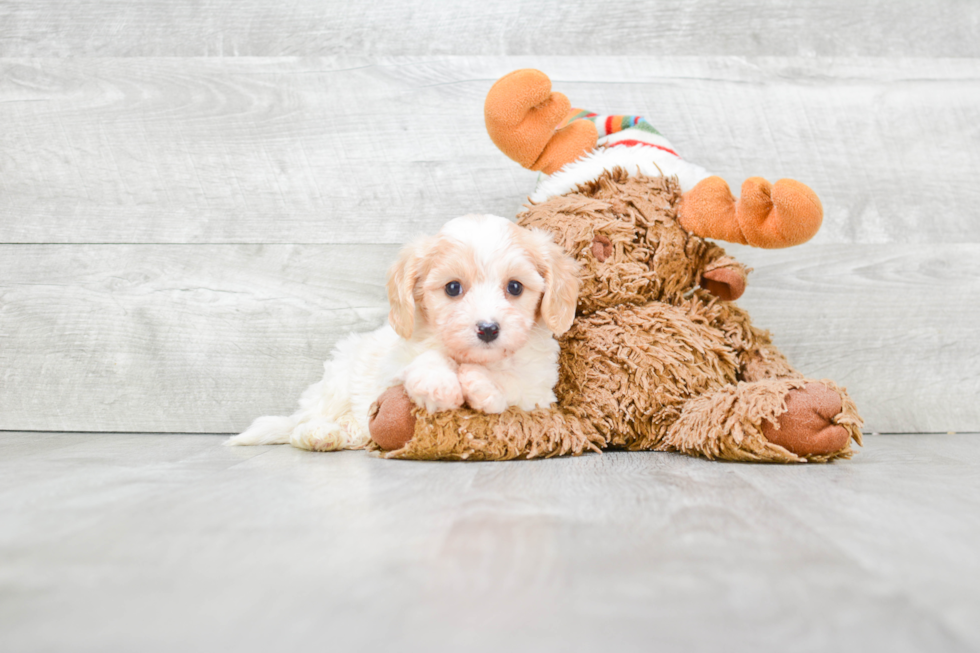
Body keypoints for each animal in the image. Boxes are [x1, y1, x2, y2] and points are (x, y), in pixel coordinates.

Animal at [228, 214, 580, 454]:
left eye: (515, 287)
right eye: (453, 288)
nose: (488, 329)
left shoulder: (539, 391)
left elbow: (514, 382)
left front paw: (484, 385)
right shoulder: (393, 364)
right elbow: (425, 358)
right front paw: (439, 384)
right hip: (339, 379)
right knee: (303, 424)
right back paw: (321, 433)